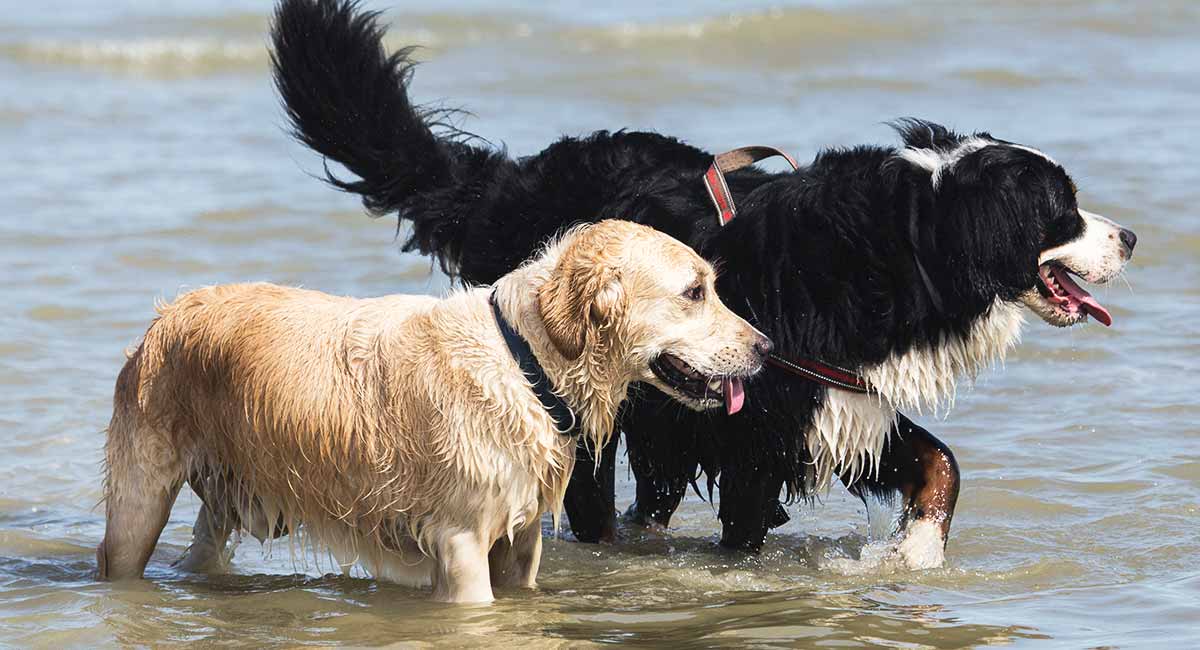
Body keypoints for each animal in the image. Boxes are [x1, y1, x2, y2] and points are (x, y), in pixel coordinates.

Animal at [270, 0, 1132, 568]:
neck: (898, 245)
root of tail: (517, 182)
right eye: (1063, 209)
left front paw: (915, 555)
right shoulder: (760, 431)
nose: (1128, 237)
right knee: (592, 502)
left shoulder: (840, 402)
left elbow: (941, 463)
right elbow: (748, 532)